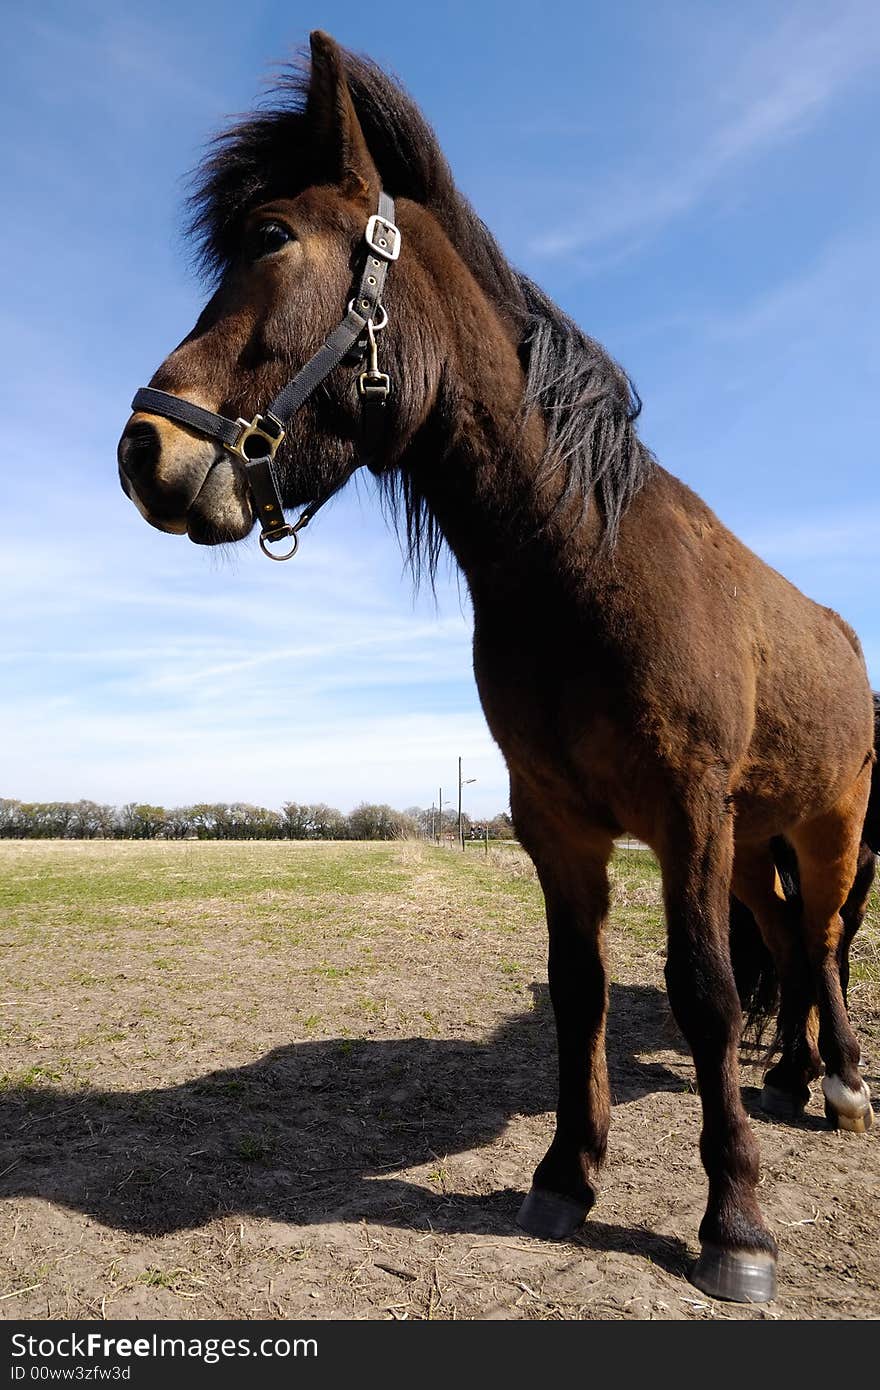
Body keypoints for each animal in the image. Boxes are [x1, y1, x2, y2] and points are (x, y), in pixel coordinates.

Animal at [116, 29, 873, 1301]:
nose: (144, 449)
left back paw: (842, 1079)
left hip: (827, 826)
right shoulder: (555, 822)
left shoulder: (689, 814)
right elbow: (580, 995)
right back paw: (789, 1078)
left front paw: (736, 1223)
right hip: (760, 834)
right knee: (782, 943)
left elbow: (706, 996)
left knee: (817, 946)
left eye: (271, 241)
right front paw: (568, 1176)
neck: (584, 565)